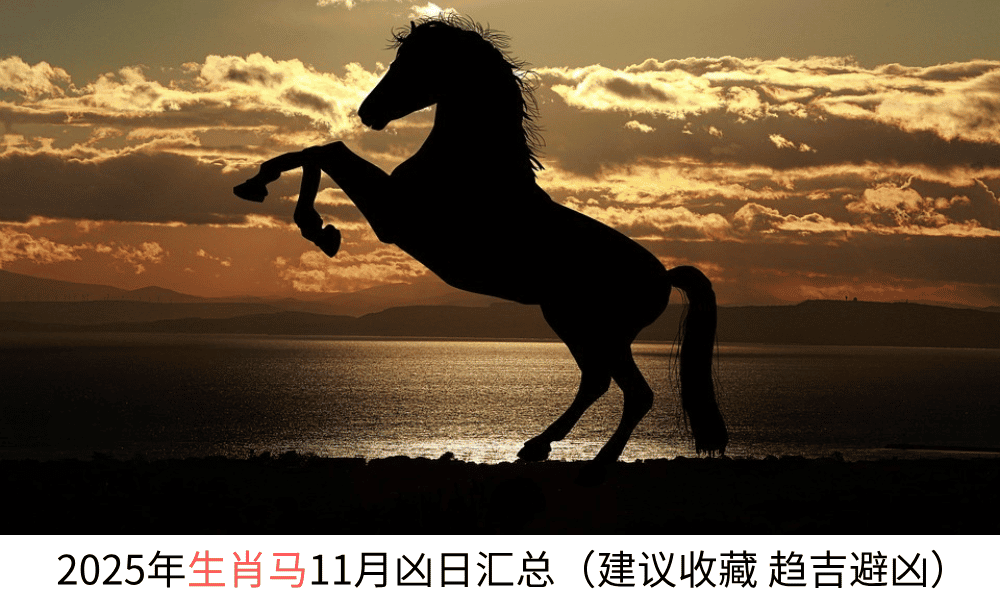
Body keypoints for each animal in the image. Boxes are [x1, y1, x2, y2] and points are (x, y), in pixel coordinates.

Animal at [234, 15, 727, 475]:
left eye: (413, 62)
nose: (367, 111)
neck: (471, 166)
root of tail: (663, 276)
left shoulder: (393, 215)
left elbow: (327, 151)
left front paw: (314, 225)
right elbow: (317, 151)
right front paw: (263, 190)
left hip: (594, 328)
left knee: (632, 392)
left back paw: (596, 458)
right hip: (575, 324)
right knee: (597, 382)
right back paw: (537, 446)